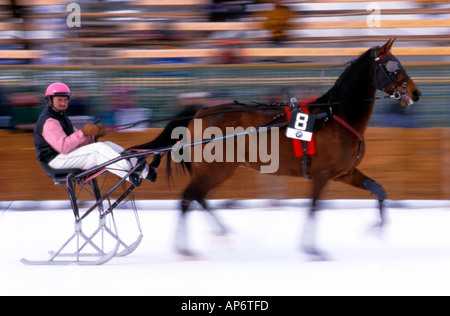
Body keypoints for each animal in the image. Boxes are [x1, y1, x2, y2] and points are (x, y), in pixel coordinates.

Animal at [130, 38, 422, 258]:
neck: (334, 115)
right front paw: (312, 249)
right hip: (216, 169)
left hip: (217, 170)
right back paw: (185, 248)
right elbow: (314, 208)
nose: (416, 93)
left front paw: (378, 227)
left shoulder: (344, 173)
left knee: (198, 198)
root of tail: (200, 111)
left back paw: (222, 233)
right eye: (393, 66)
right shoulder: (323, 175)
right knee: (187, 199)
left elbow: (379, 190)